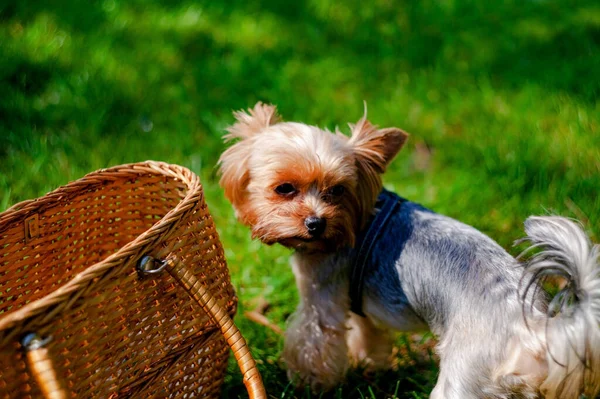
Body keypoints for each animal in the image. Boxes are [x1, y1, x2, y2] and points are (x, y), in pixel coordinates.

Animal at [217, 103, 600, 399]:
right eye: (284, 188)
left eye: (338, 190)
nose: (315, 224)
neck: (356, 218)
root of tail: (536, 332)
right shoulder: (358, 303)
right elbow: (367, 333)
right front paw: (368, 362)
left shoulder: (319, 293)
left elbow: (314, 340)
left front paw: (310, 385)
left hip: (463, 382)